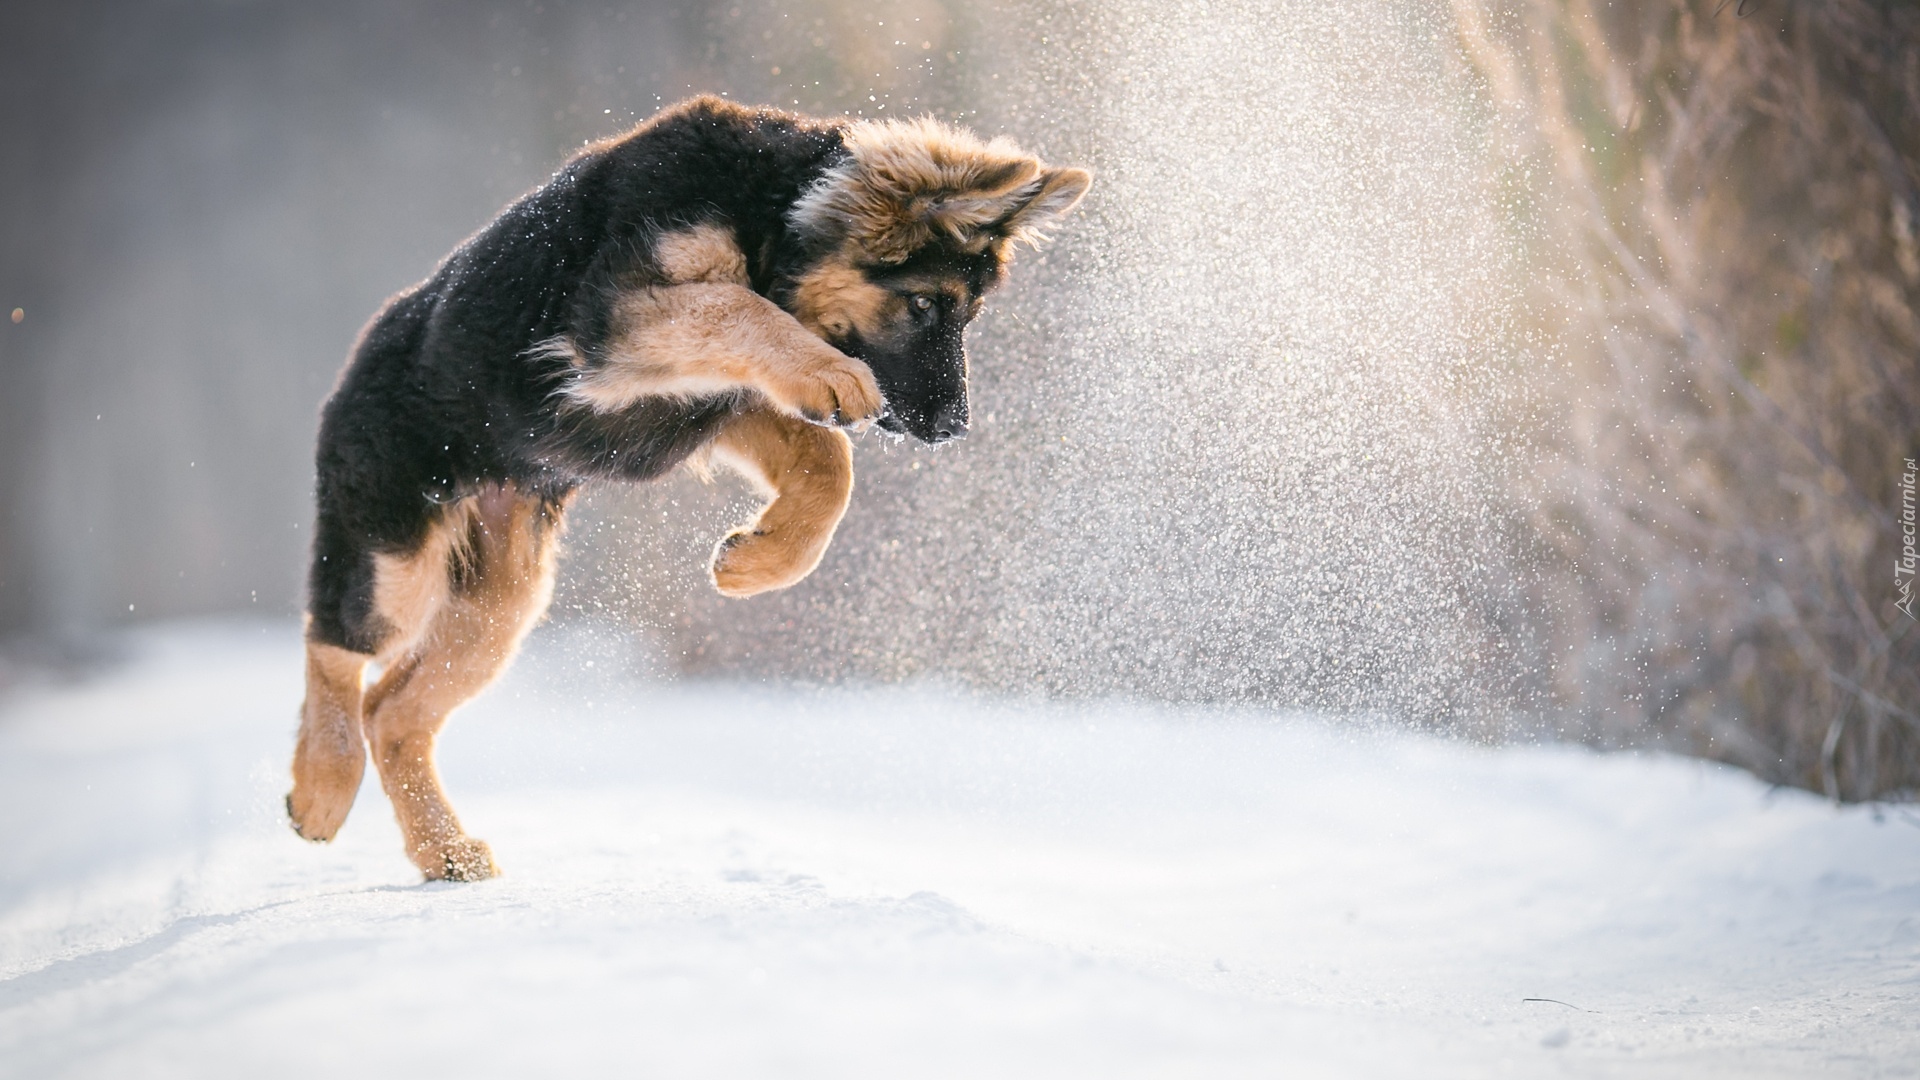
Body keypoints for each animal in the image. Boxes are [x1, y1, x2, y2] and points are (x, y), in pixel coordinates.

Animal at [286, 96, 1098, 880]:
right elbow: (734, 306)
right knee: (336, 645)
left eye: (970, 313)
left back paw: (443, 850)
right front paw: (831, 377)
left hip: (502, 604)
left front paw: (759, 559)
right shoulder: (619, 320)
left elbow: (828, 460)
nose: (954, 428)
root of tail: (357, 358)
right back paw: (322, 785)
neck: (774, 210)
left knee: (393, 710)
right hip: (401, 558)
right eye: (927, 304)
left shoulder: (718, 399)